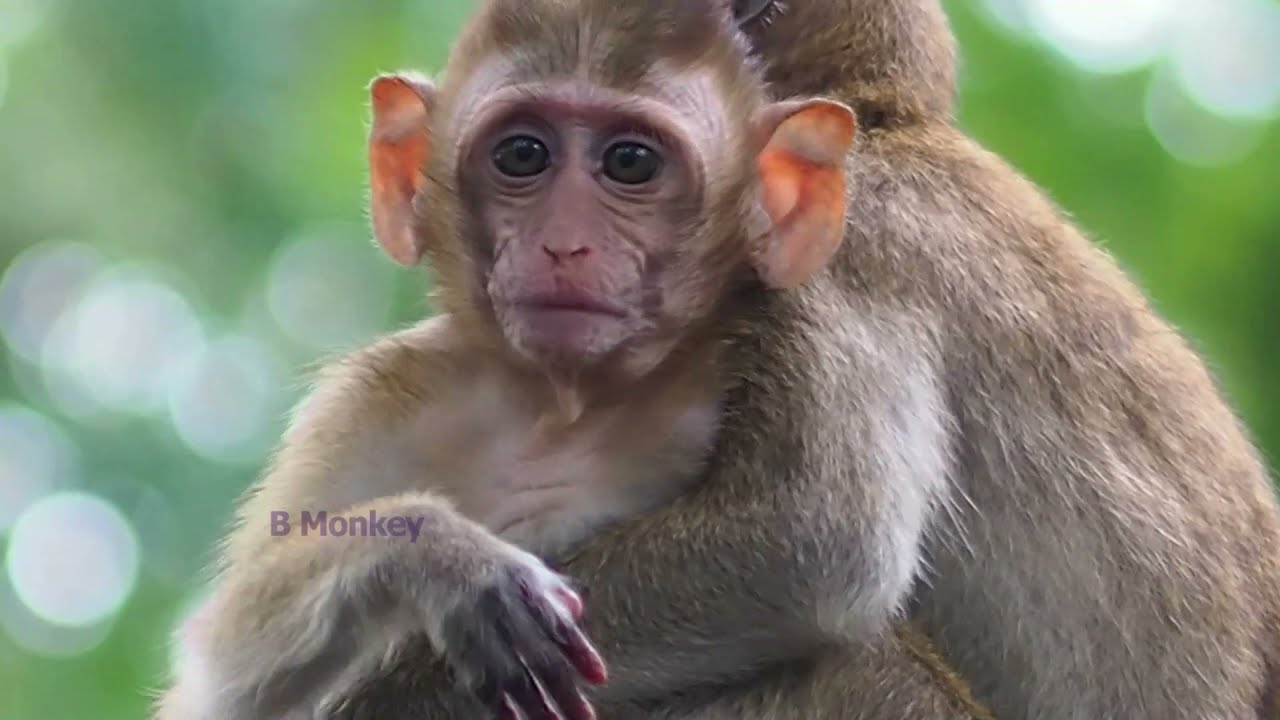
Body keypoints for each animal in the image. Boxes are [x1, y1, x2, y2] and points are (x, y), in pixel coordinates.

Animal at [151, 2, 987, 719]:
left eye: (630, 163)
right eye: (524, 154)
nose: (564, 245)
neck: (563, 406)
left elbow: (812, 545)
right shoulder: (378, 399)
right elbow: (218, 688)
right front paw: (439, 559)